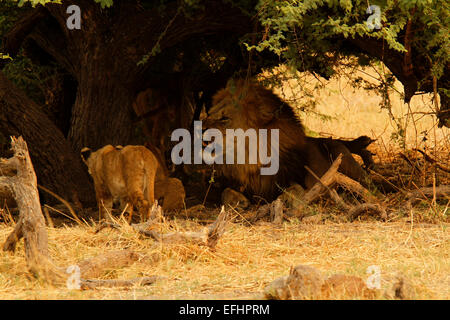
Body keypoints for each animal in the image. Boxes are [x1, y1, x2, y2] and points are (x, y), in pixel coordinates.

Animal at [203, 79, 372, 200]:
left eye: (225, 118)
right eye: (210, 113)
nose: (201, 128)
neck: (247, 161)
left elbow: (295, 190)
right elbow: (226, 191)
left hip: (345, 161)